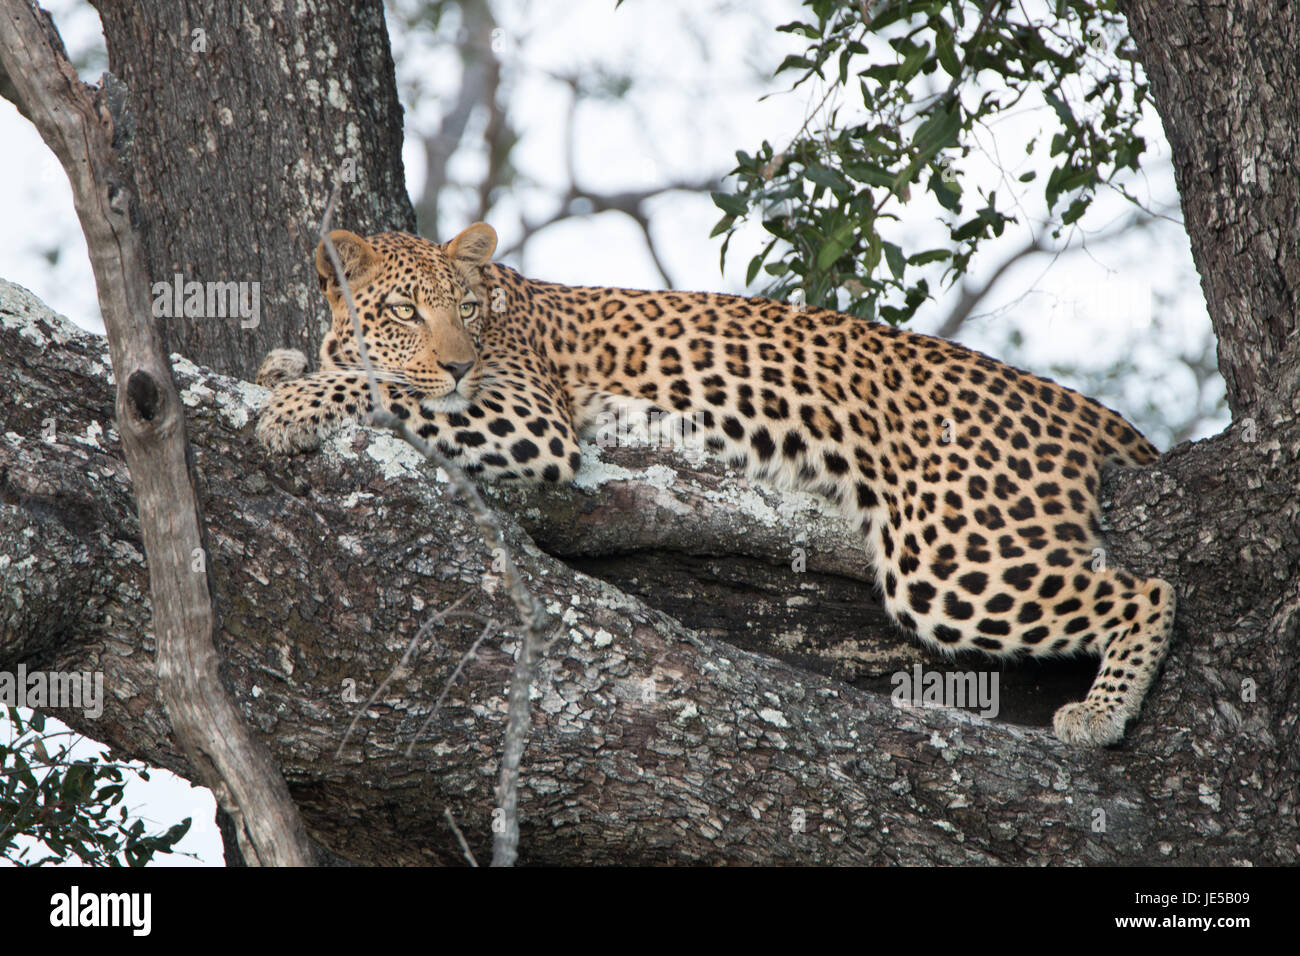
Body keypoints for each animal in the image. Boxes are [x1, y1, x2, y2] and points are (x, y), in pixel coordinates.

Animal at [255, 223, 1177, 748]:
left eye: (469, 310)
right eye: (405, 311)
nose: (456, 362)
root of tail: (1063, 399)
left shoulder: (527, 413)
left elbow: (389, 391)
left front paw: (293, 405)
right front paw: (285, 366)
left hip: (952, 557)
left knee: (1149, 589)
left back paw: (1101, 714)